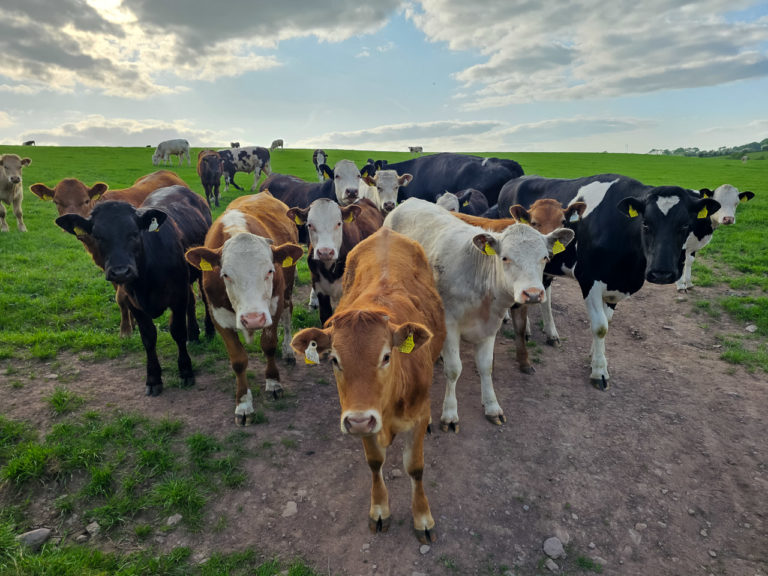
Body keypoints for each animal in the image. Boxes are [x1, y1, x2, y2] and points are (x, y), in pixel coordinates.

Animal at [56, 186, 213, 396]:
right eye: (97, 236)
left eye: (134, 232)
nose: (120, 271)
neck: (145, 278)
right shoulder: (133, 302)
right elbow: (148, 337)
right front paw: (153, 378)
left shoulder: (177, 295)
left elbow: (177, 331)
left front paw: (186, 371)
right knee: (192, 303)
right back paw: (194, 334)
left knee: (203, 298)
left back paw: (209, 331)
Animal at [185, 192, 303, 425]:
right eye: (225, 275)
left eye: (269, 271)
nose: (254, 319)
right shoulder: (218, 316)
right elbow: (238, 361)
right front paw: (244, 404)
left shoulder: (273, 308)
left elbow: (269, 345)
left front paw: (273, 383)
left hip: (288, 288)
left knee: (288, 314)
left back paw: (288, 351)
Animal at [291, 227, 446, 543]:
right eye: (334, 360)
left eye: (386, 356)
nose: (359, 421)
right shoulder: (360, 417)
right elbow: (375, 462)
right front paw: (379, 510)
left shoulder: (416, 416)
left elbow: (415, 468)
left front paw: (422, 517)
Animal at [384, 198, 574, 429]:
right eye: (505, 258)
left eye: (545, 257)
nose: (533, 294)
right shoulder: (450, 324)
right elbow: (454, 369)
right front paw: (450, 414)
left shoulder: (491, 326)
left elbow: (486, 367)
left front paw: (492, 407)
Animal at [496, 174, 721, 389]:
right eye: (646, 223)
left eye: (685, 225)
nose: (662, 273)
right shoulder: (589, 280)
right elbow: (600, 326)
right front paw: (599, 371)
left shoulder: (617, 286)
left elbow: (607, 322)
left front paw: (595, 355)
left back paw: (550, 333)